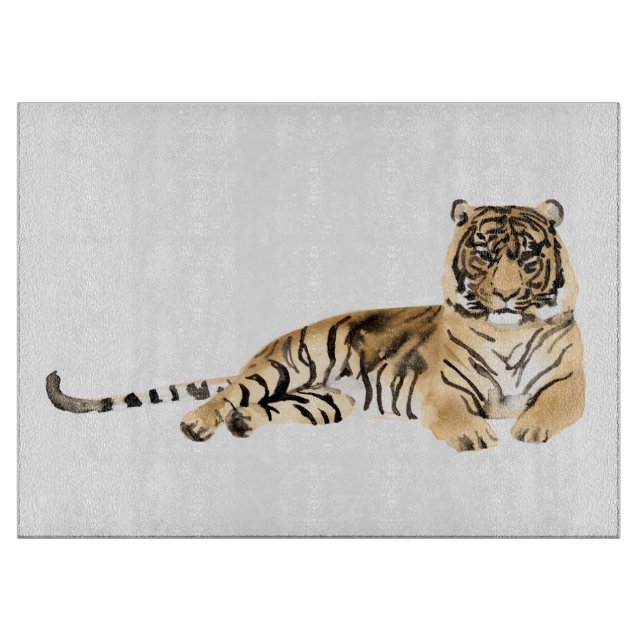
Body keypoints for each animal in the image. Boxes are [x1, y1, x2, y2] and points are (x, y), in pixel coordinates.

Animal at [46, 199, 585, 452]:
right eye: (484, 254)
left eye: (529, 257)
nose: (506, 296)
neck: (509, 330)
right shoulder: (444, 391)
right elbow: (459, 416)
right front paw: (477, 436)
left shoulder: (569, 382)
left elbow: (554, 405)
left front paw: (529, 428)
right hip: (289, 365)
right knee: (231, 393)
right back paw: (197, 423)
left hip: (325, 400)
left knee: (265, 407)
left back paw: (242, 424)